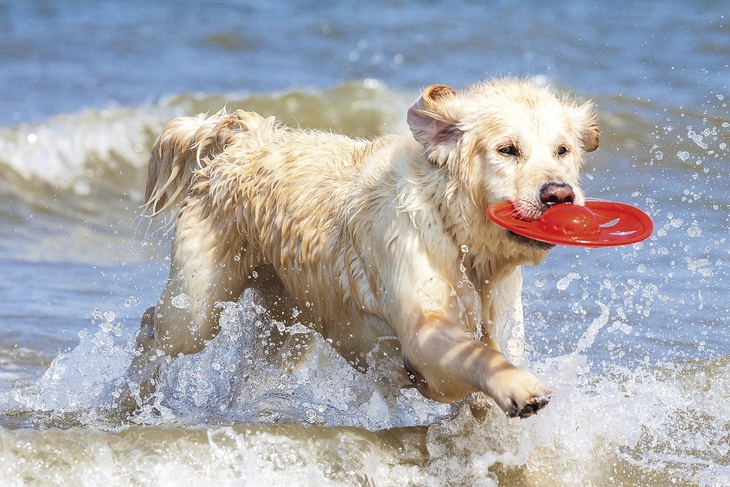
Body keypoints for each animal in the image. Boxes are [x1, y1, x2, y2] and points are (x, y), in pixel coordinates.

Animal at [132, 80, 596, 420]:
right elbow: (476, 354)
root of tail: (243, 139)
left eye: (563, 150)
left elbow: (492, 365)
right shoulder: (423, 336)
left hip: (287, 324)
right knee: (154, 323)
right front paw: (520, 387)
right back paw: (129, 401)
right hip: (197, 309)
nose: (559, 194)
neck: (459, 237)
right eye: (507, 149)